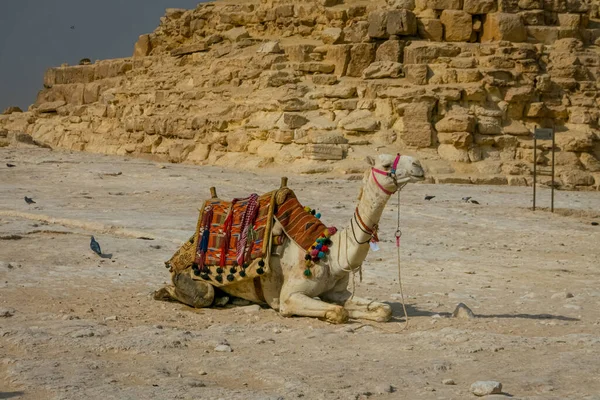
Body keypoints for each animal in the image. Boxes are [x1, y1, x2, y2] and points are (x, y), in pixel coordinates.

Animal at [155, 152, 426, 324]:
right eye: (388, 163)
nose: (419, 165)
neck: (331, 253)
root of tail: (177, 257)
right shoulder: (290, 296)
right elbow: (339, 312)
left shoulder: (336, 292)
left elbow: (383, 310)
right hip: (191, 279)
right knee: (203, 294)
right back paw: (163, 292)